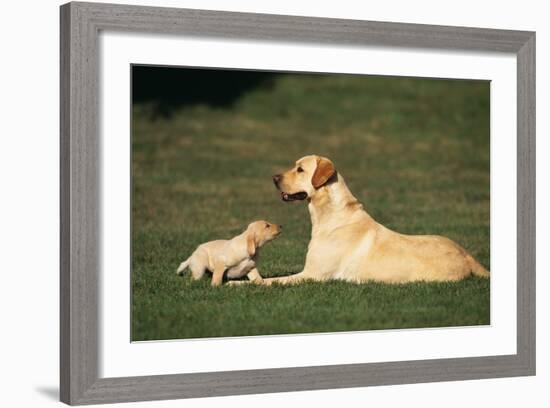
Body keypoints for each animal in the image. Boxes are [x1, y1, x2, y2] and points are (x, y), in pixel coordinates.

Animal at [266, 155, 490, 286]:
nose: (274, 178)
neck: (330, 214)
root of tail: (466, 254)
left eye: (300, 170)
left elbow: (272, 281)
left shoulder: (313, 274)